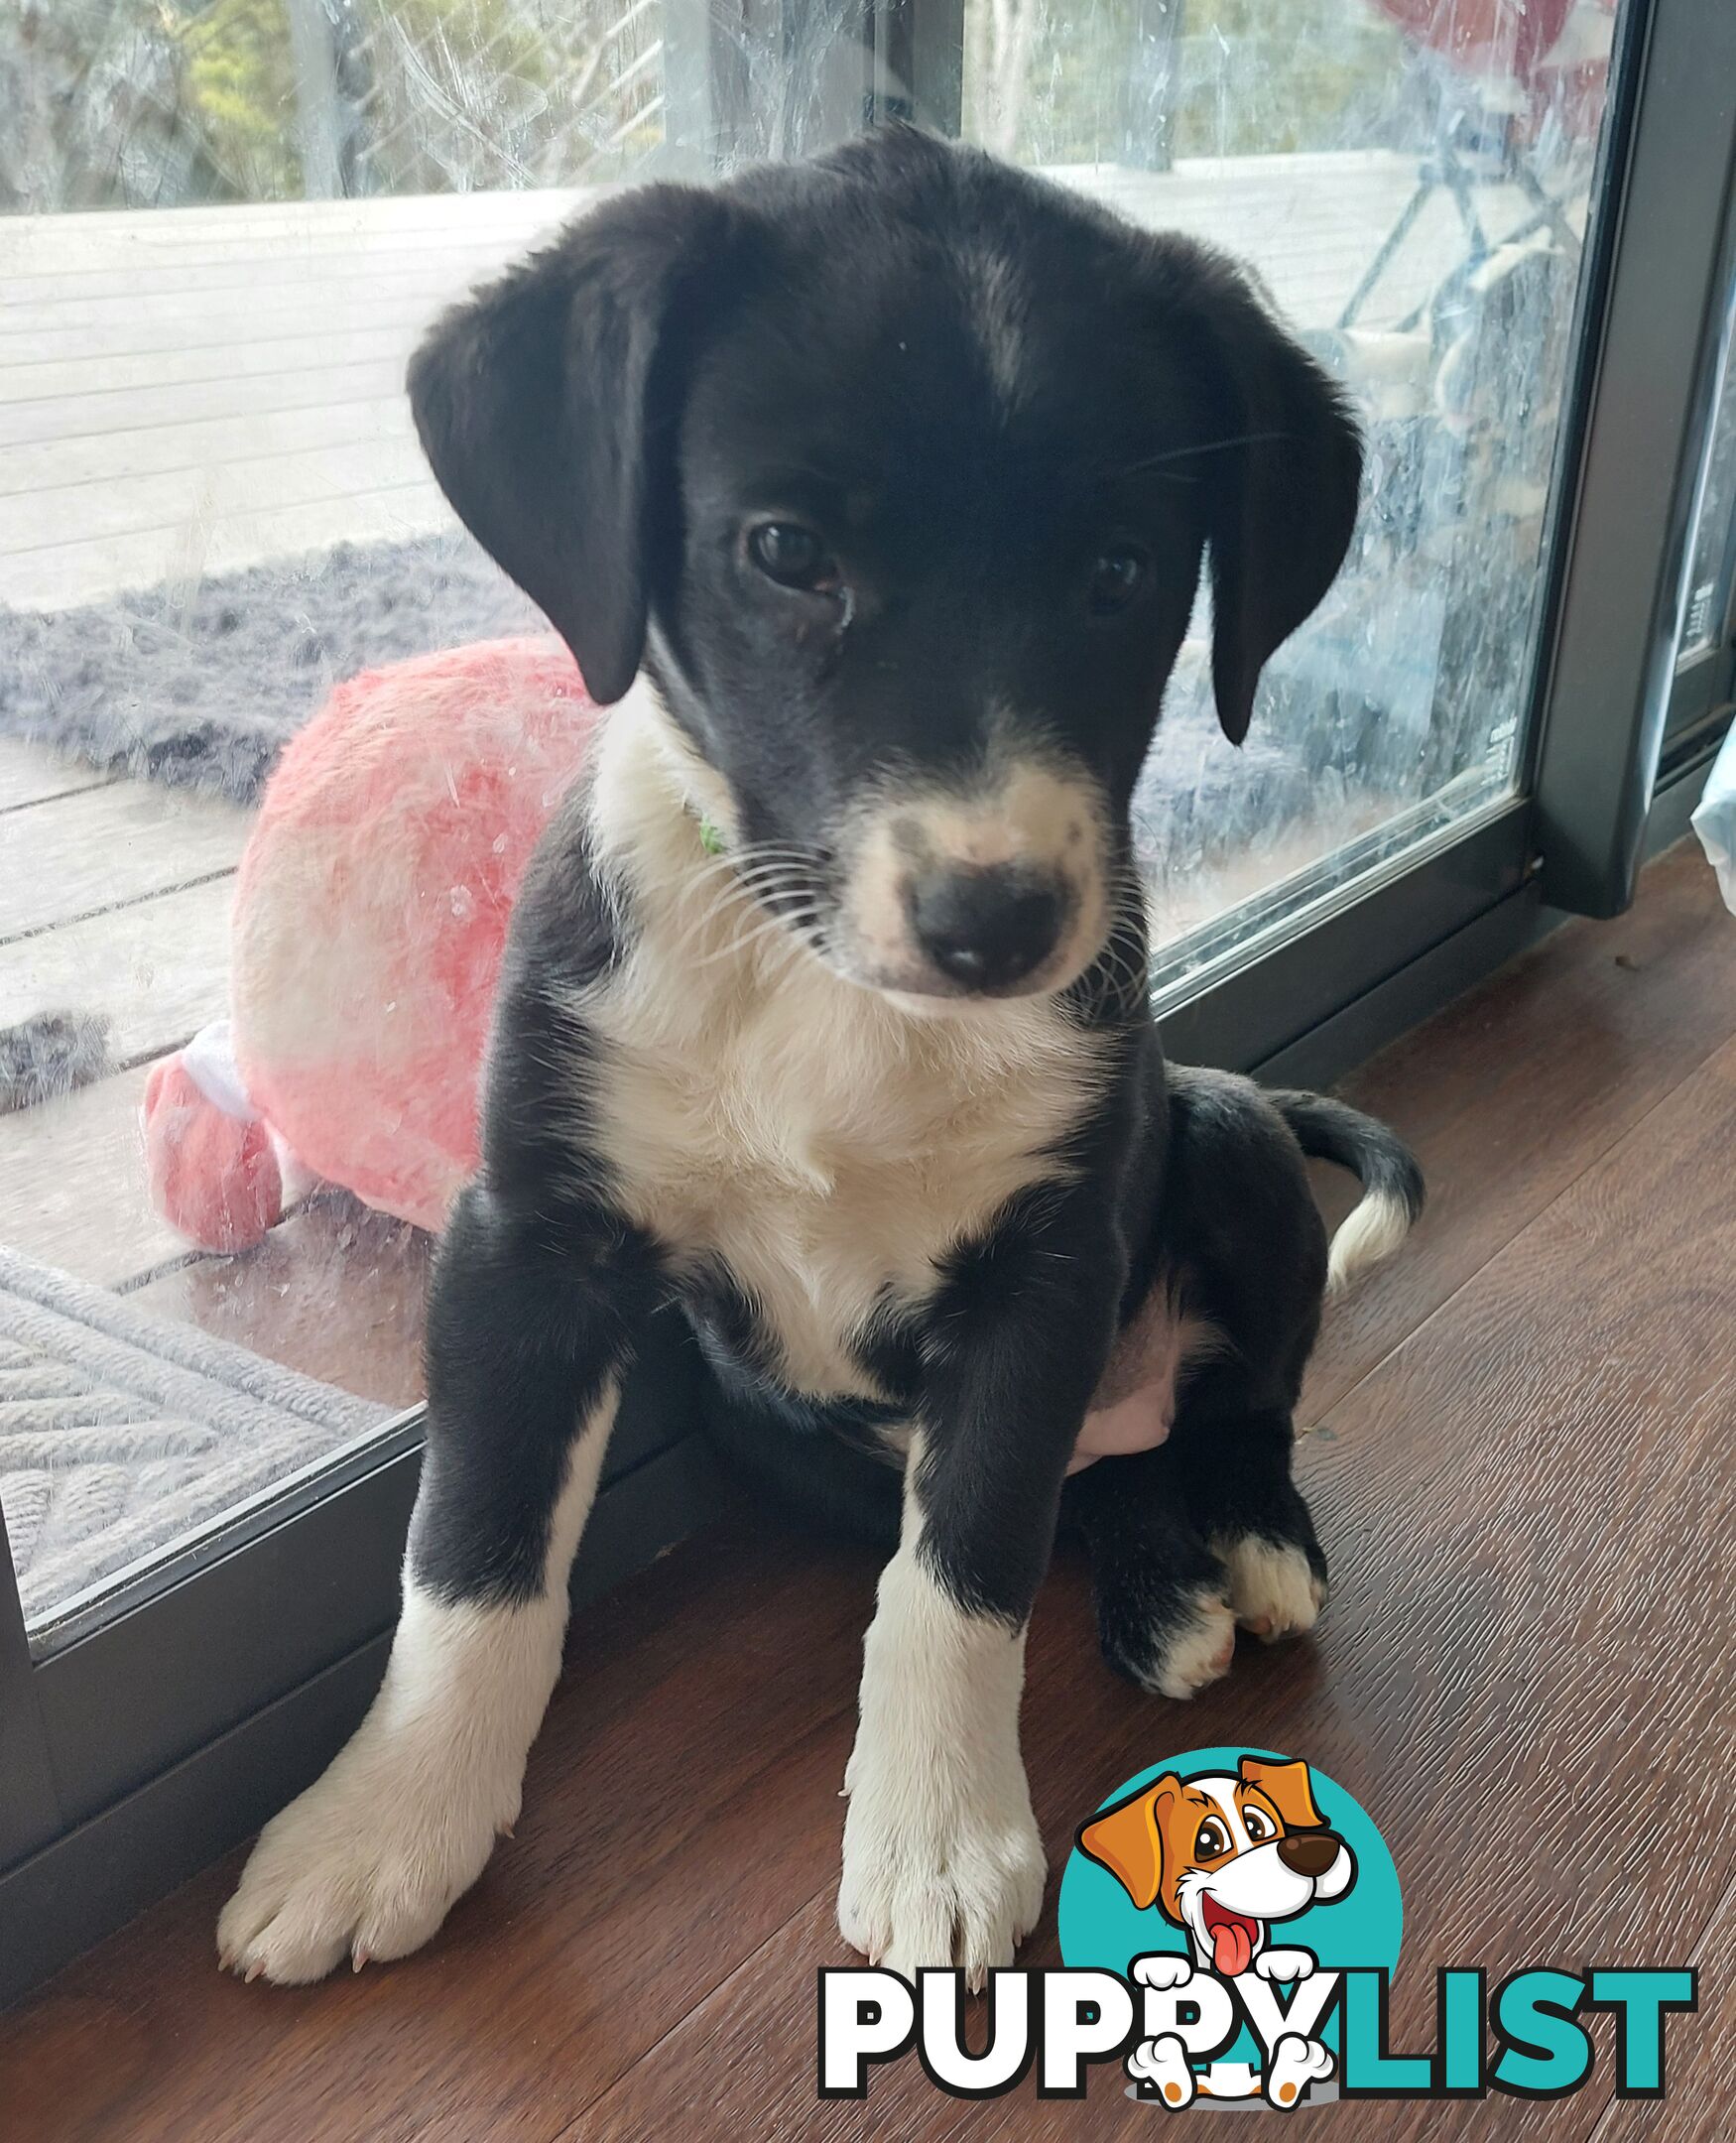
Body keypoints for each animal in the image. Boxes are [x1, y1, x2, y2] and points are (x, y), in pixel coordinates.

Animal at [216, 125, 1423, 1979]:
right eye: (783, 551)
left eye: (1123, 573)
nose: (997, 923)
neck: (823, 986)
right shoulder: (526, 1240)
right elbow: (470, 1549)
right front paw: (385, 1823)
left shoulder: (1041, 1278)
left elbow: (961, 1575)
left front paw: (935, 1838)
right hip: (786, 1435)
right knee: (1090, 1491)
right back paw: (1159, 1586)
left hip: (1216, 1134)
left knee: (1229, 1412)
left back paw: (1246, 1544)